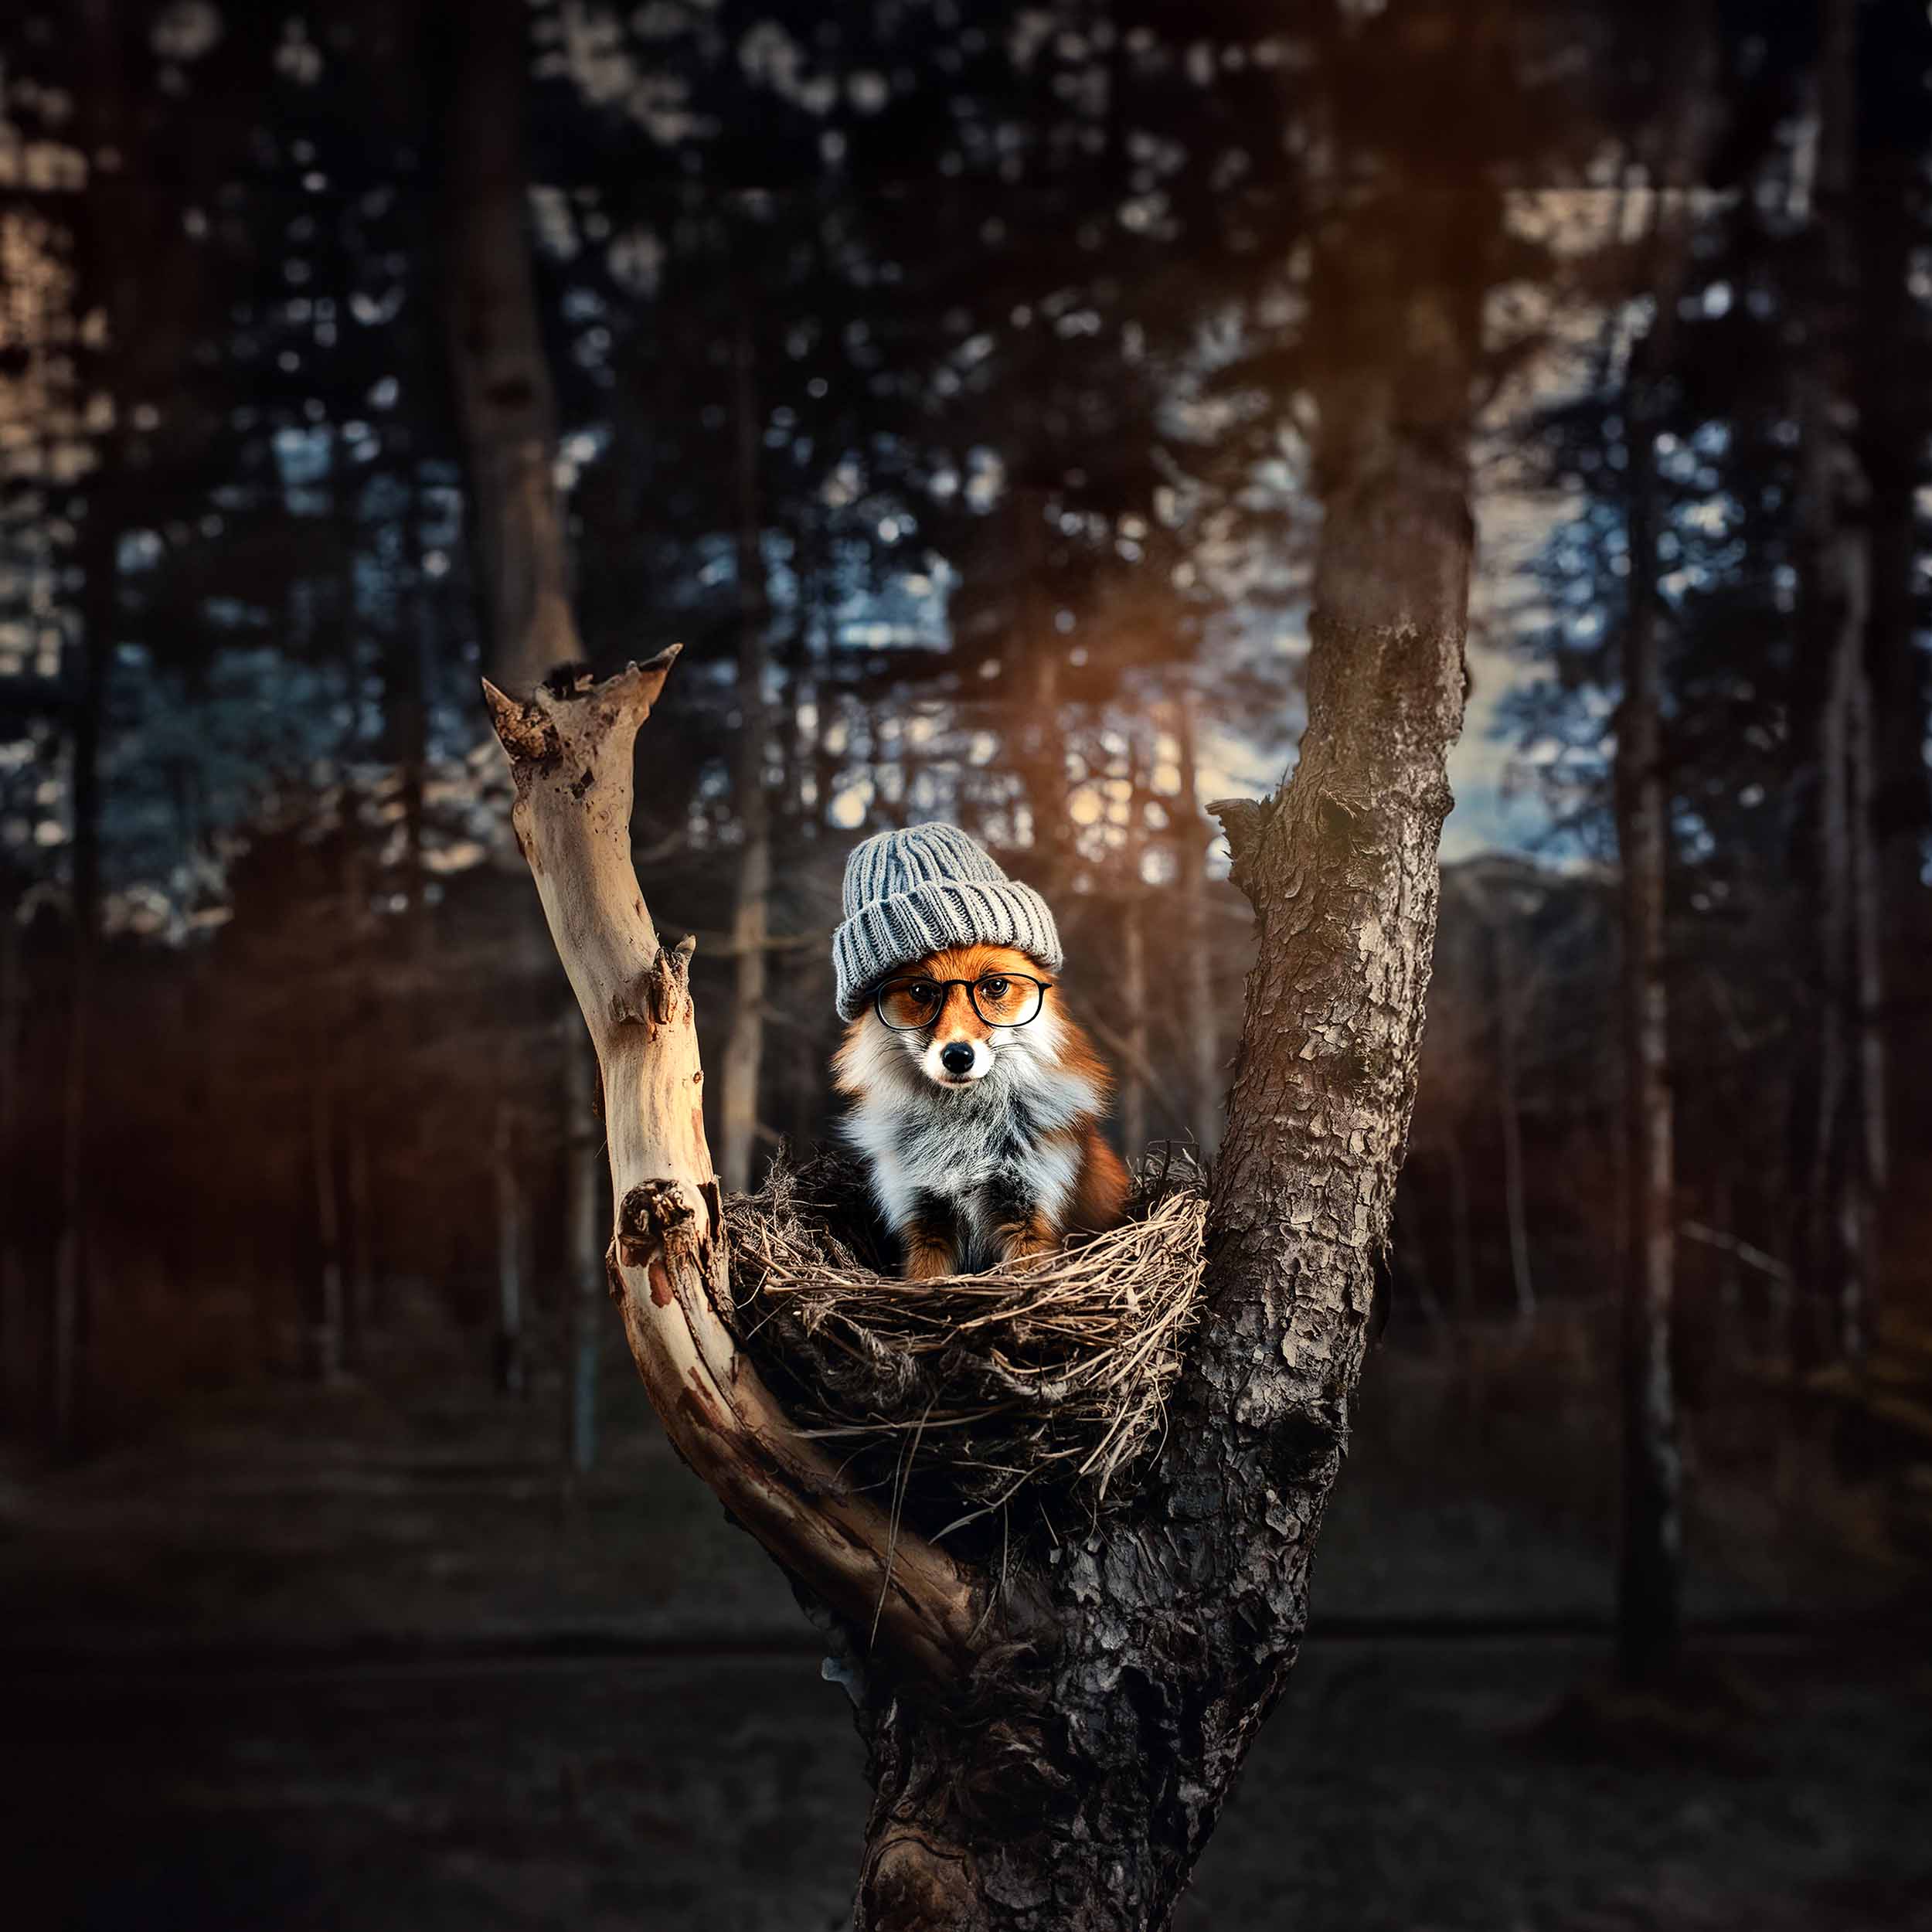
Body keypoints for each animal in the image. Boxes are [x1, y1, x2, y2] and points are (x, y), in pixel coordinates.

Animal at [833, 941, 1132, 1280]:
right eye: (921, 991)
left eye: (996, 986)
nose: (958, 1056)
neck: (968, 1136)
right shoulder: (923, 1220)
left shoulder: (1031, 1217)